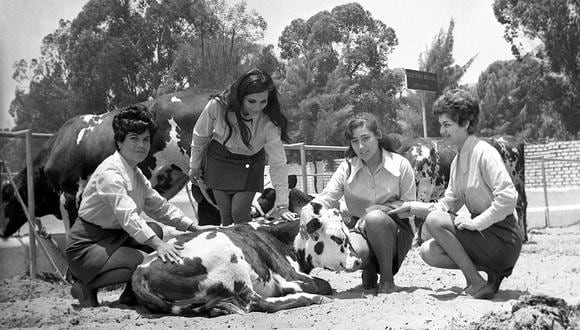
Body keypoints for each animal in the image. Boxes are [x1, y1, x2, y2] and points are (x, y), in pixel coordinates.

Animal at [130, 204, 362, 318]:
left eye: (348, 235)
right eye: (337, 238)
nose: (358, 261)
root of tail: (140, 270)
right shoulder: (288, 275)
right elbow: (324, 285)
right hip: (232, 261)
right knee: (255, 302)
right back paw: (311, 298)